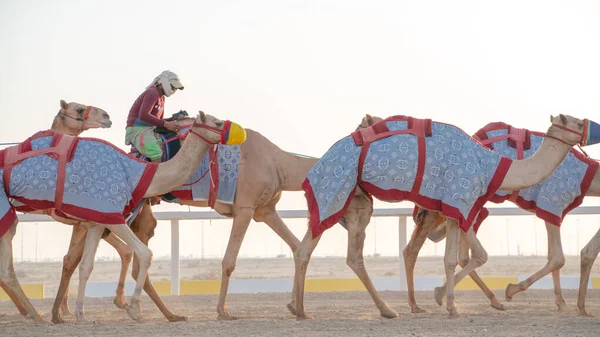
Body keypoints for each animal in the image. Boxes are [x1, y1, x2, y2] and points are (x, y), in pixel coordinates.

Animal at [0, 108, 245, 322]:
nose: (240, 132)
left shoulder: (96, 220)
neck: (137, 174)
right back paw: (39, 317)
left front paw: (82, 316)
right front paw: (134, 309)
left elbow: (86, 266)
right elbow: (145, 253)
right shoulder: (112, 214)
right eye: (217, 123)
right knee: (8, 267)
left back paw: (45, 316)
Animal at [290, 113, 592, 318]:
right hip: (334, 190)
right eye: (576, 122)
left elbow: (452, 259)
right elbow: (466, 257)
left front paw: (449, 304)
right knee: (308, 247)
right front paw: (448, 302)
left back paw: (385, 309)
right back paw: (302, 310)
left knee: (353, 255)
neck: (493, 166)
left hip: (356, 201)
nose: (590, 129)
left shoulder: (454, 207)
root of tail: (318, 163)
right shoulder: (459, 198)